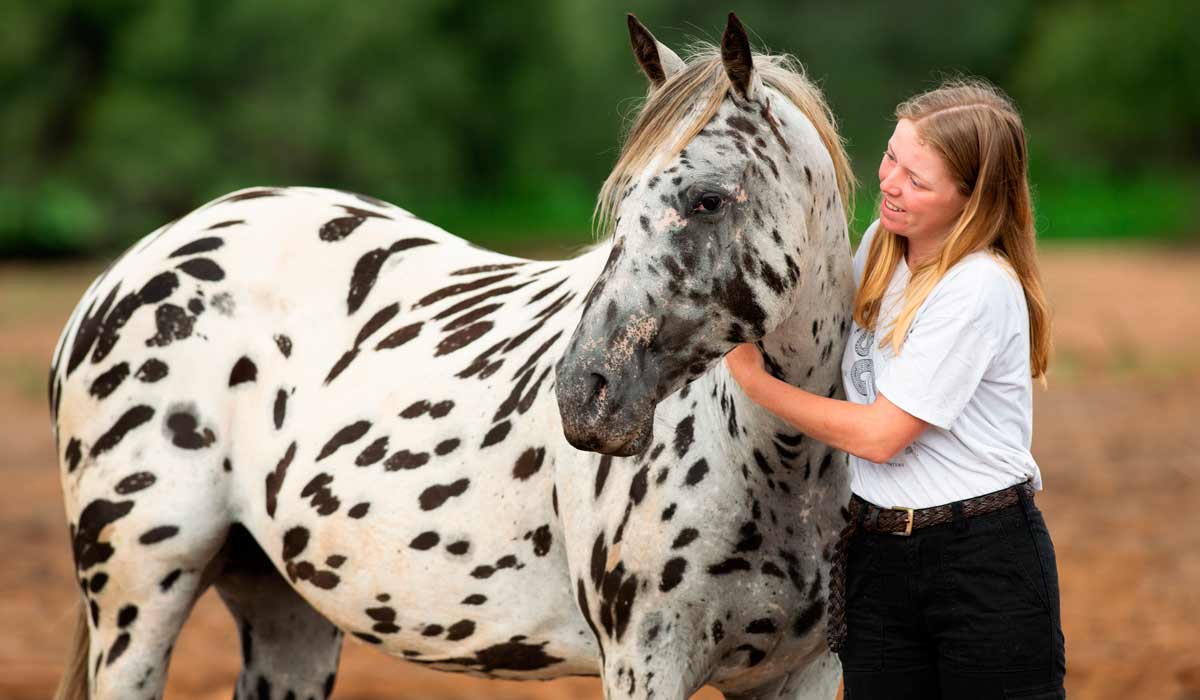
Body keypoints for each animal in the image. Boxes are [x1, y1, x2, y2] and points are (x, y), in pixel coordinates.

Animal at [54, 12, 854, 700]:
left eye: (709, 200)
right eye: (620, 204)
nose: (584, 395)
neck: (775, 464)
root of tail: (128, 269)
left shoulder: (802, 673)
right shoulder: (643, 662)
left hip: (284, 610)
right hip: (137, 602)